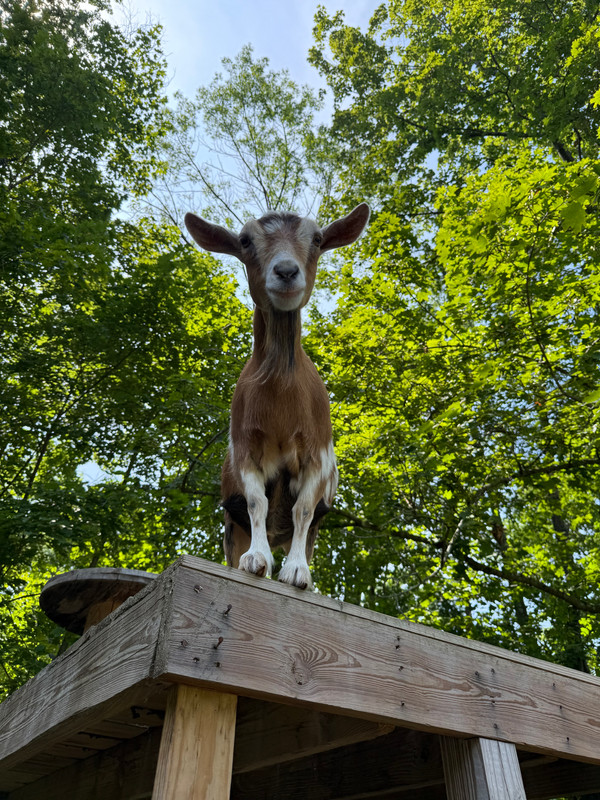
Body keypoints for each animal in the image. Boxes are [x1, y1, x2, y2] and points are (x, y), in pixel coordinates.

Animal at [184, 203, 370, 589]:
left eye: (317, 239)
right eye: (244, 240)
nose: (286, 271)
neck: (282, 401)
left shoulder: (317, 455)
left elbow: (303, 509)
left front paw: (297, 572)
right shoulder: (245, 450)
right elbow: (257, 502)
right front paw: (256, 560)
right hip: (231, 526)